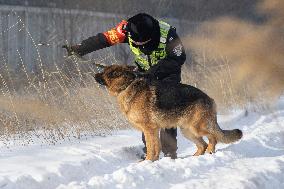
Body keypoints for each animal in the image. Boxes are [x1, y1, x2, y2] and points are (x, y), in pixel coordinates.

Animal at [95, 64, 242, 160]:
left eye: (107, 72)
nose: (94, 75)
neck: (127, 85)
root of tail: (210, 99)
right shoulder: (152, 130)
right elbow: (155, 147)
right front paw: (152, 161)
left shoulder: (149, 129)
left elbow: (151, 147)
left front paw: (147, 161)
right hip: (187, 131)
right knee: (202, 144)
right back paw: (193, 158)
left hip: (197, 128)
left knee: (213, 137)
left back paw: (210, 151)